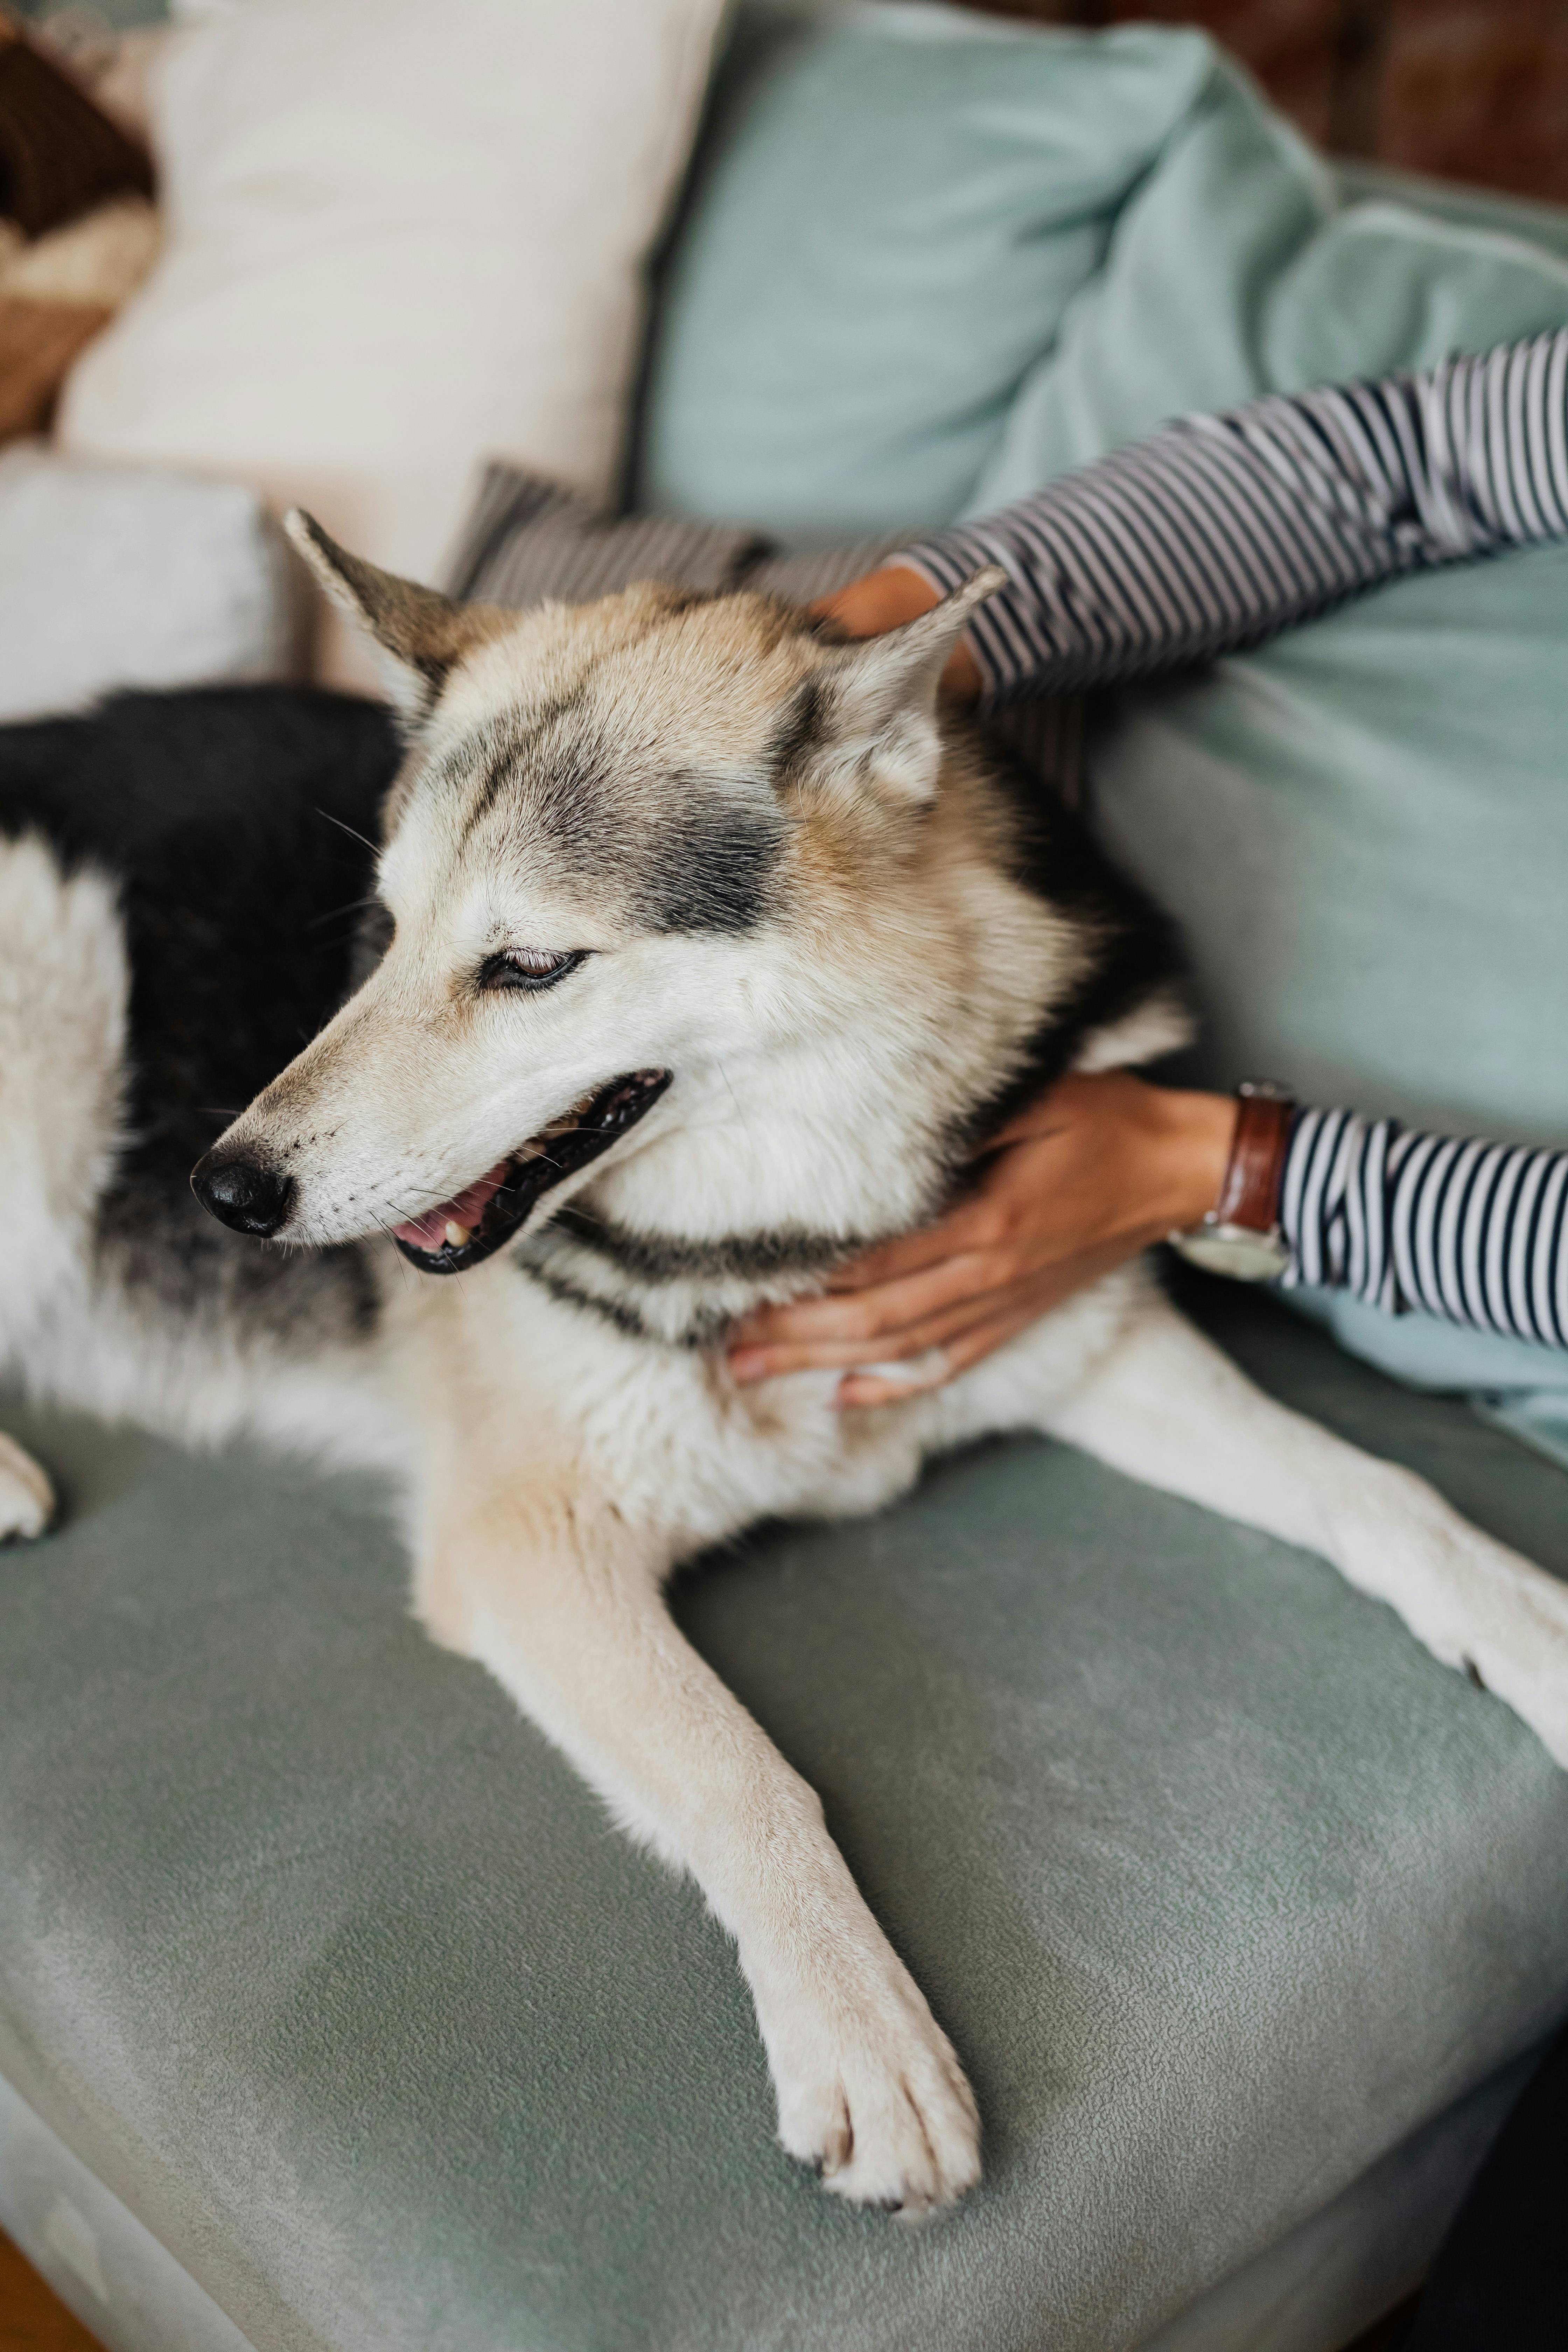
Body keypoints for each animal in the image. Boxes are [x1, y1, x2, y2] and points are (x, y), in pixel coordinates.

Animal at [3, 520, 1568, 2220]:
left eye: (529, 963)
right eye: (388, 929)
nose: (226, 1189)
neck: (785, 1215)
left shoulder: (1087, 1339)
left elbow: (1384, 1488)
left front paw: (1530, 1622)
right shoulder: (530, 1542)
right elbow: (748, 1770)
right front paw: (864, 2029)